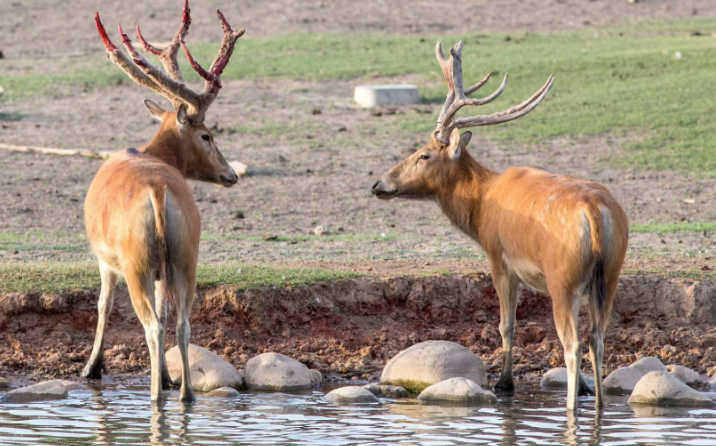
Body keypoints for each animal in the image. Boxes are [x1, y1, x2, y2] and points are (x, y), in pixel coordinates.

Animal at [84, 1, 243, 402]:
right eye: (207, 136)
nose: (231, 174)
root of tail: (157, 190)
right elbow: (167, 313)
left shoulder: (105, 259)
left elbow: (103, 303)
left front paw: (91, 367)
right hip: (187, 256)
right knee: (182, 321)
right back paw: (183, 393)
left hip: (136, 264)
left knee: (152, 326)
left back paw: (156, 394)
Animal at [372, 41, 628, 412]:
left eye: (423, 154)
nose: (378, 183)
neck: (480, 208)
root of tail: (594, 212)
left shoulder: (499, 258)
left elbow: (506, 324)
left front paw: (504, 383)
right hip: (609, 274)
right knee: (598, 338)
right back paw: (597, 404)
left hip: (562, 278)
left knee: (573, 343)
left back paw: (570, 407)